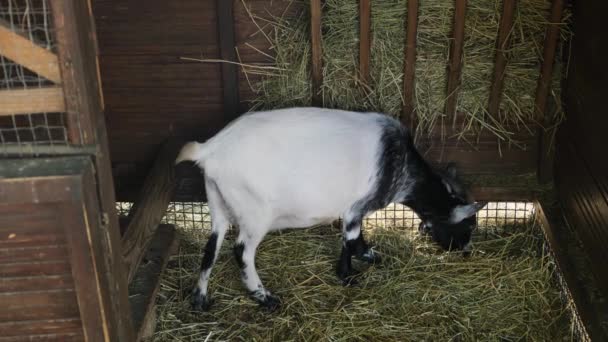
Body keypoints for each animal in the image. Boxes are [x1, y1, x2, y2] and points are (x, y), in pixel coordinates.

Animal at [176, 108, 484, 312]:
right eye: (468, 225)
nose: (466, 252)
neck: (400, 165)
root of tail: (210, 150)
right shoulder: (356, 207)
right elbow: (350, 239)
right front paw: (348, 275)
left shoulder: (355, 210)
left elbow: (356, 239)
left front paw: (369, 256)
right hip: (255, 215)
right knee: (241, 252)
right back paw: (264, 296)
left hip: (216, 203)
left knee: (211, 248)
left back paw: (200, 299)